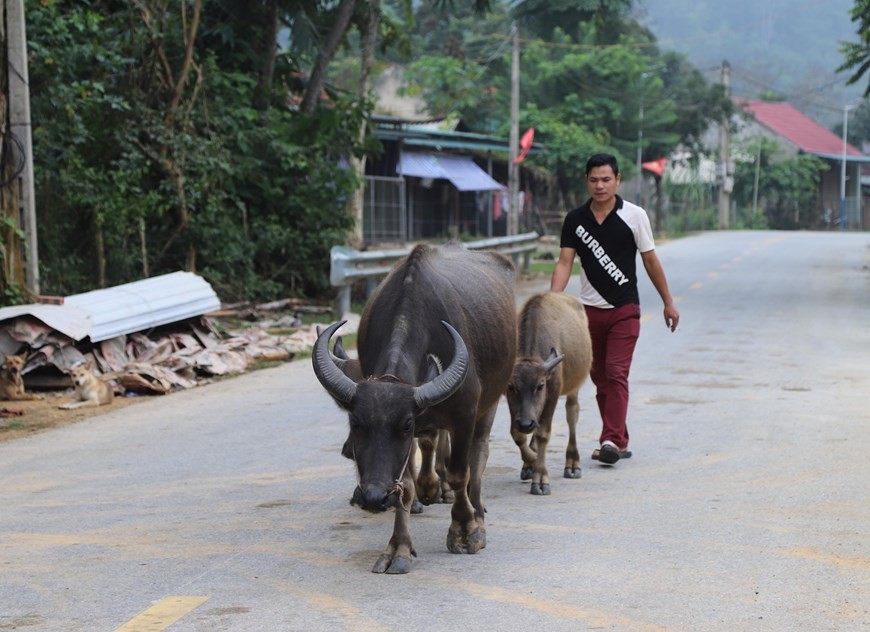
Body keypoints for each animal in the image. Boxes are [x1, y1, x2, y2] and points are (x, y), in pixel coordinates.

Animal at [314, 242, 516, 572]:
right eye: (355, 422)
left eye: (405, 424)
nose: (373, 498)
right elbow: (405, 487)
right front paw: (399, 548)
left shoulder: (463, 415)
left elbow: (460, 473)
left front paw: (464, 531)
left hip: (490, 403)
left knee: (478, 458)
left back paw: (477, 514)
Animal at [504, 292, 592, 494]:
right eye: (512, 386)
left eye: (541, 385)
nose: (526, 423)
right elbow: (516, 433)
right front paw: (530, 460)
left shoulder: (552, 394)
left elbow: (543, 434)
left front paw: (541, 478)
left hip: (574, 387)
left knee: (572, 414)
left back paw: (572, 463)